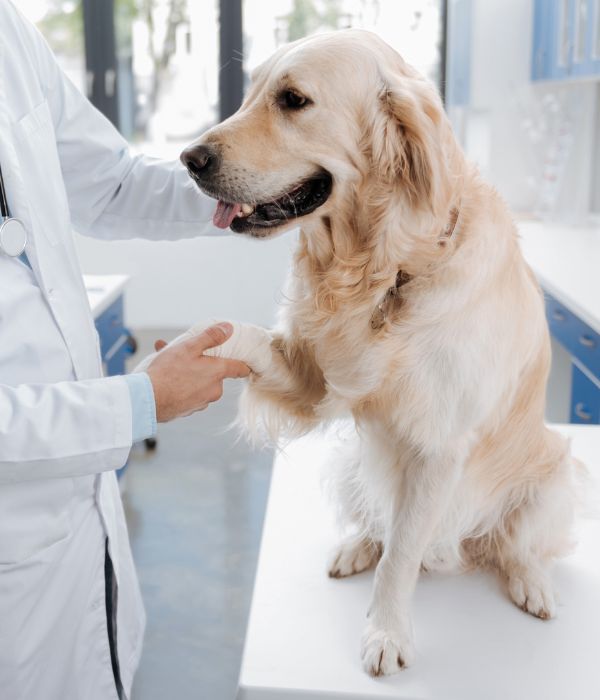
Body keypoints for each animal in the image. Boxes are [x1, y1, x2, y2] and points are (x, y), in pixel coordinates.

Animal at [176, 30, 580, 676]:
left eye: (293, 99)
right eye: (251, 93)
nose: (189, 160)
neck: (385, 267)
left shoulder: (439, 448)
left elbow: (403, 555)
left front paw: (386, 634)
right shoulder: (313, 380)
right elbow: (252, 338)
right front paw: (198, 345)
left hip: (554, 477)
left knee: (516, 545)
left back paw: (531, 584)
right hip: (349, 463)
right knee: (377, 518)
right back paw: (354, 548)